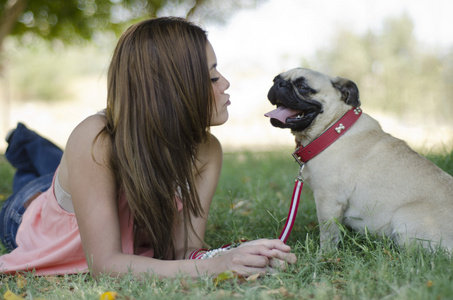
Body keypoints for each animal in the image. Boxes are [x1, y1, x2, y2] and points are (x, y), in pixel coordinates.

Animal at [264, 67, 452, 252]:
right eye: (275, 79)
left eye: (302, 86)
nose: (279, 84)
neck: (332, 129)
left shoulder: (328, 200)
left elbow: (328, 233)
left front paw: (324, 255)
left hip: (403, 219)